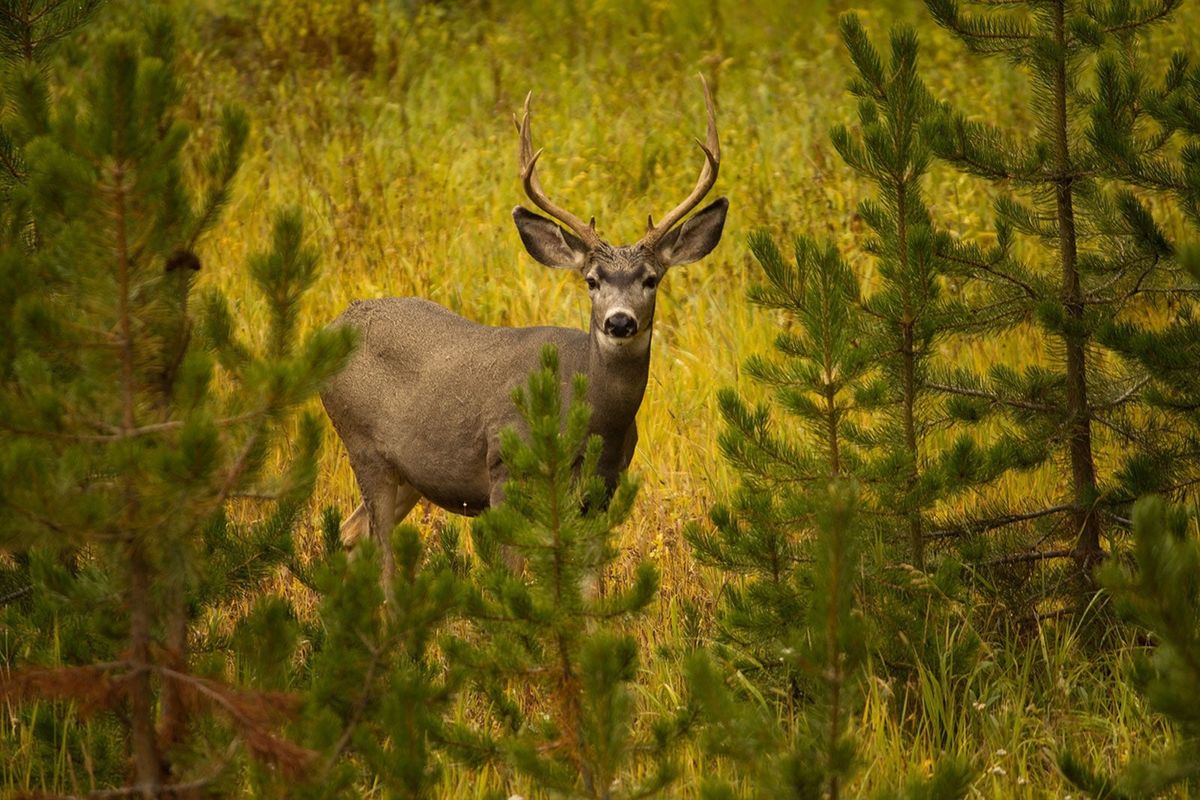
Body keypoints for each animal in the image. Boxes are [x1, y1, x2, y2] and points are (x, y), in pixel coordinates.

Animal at [319, 76, 724, 594]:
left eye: (651, 279)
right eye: (591, 280)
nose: (619, 322)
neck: (589, 418)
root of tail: (336, 323)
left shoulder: (602, 492)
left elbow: (589, 593)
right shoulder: (504, 474)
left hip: (410, 472)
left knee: (354, 536)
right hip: (363, 445)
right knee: (382, 558)